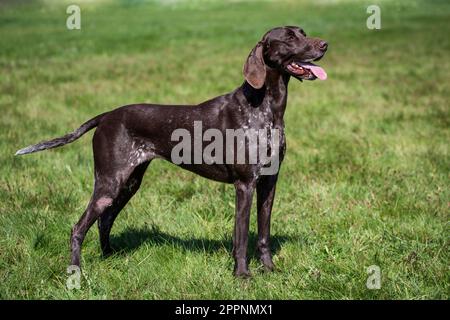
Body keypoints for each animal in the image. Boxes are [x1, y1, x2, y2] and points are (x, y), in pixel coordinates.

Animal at [16, 26, 326, 278]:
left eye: (303, 32)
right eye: (289, 38)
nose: (325, 44)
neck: (267, 106)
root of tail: (106, 117)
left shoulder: (269, 183)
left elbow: (263, 234)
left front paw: (270, 270)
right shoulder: (245, 185)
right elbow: (241, 238)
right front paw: (242, 275)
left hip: (128, 184)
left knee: (105, 220)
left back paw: (109, 257)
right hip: (109, 183)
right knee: (79, 228)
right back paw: (77, 273)